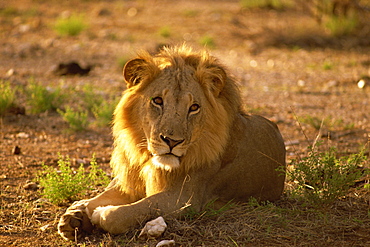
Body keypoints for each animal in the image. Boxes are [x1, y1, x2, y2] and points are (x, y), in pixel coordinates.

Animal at [59, 44, 288, 241]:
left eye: (194, 107)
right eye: (157, 101)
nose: (171, 141)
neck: (150, 160)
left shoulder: (185, 199)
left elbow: (128, 212)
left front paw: (99, 214)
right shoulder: (132, 181)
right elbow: (104, 196)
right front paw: (74, 216)